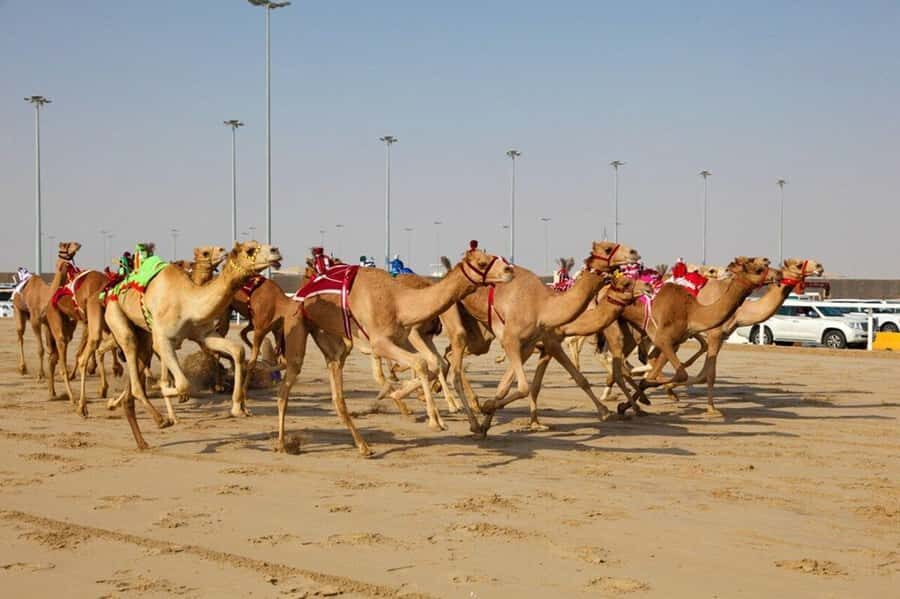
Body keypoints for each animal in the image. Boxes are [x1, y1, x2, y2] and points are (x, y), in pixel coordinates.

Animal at [104, 241, 282, 449]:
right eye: (250, 250)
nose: (276, 251)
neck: (188, 303)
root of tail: (111, 290)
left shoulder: (203, 334)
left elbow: (237, 350)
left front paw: (238, 408)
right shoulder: (163, 340)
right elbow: (182, 383)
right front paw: (169, 393)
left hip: (144, 335)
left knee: (136, 372)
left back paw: (139, 436)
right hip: (116, 316)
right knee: (132, 358)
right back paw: (160, 419)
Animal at [276, 243, 514, 456]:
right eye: (482, 263)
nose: (509, 269)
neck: (399, 302)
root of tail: (299, 294)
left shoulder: (399, 338)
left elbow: (428, 364)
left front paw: (406, 396)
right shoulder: (380, 342)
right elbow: (421, 364)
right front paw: (434, 420)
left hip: (332, 342)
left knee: (338, 395)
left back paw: (363, 446)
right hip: (298, 326)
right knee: (286, 387)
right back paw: (282, 444)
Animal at [455, 241, 640, 434]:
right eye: (607, 249)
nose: (634, 252)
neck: (544, 306)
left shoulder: (534, 346)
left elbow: (519, 386)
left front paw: (529, 423)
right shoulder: (541, 342)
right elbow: (571, 379)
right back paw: (470, 405)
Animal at [663, 258, 824, 415]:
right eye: (798, 264)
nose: (819, 266)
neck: (740, 312)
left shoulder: (722, 336)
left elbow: (704, 374)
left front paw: (670, 389)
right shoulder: (714, 334)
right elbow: (710, 374)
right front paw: (711, 409)